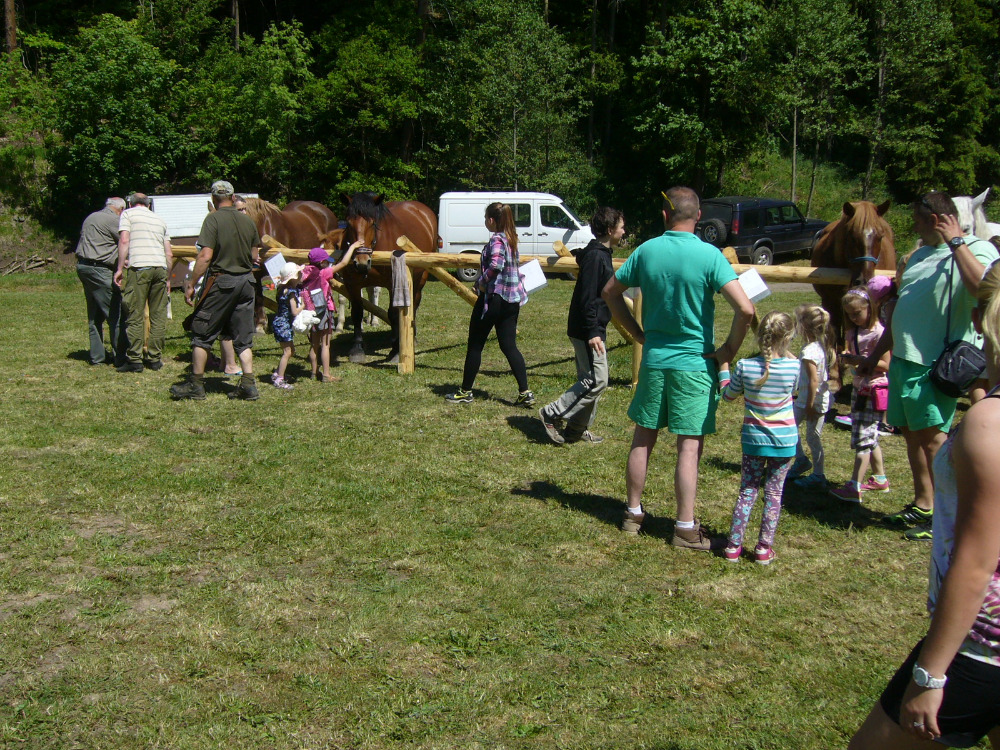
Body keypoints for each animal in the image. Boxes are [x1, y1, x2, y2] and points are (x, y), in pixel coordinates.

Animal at [338, 192, 436, 366]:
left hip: (420, 278)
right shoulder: (353, 284)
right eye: (348, 223)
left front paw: (396, 350)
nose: (361, 262)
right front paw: (357, 348)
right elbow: (357, 312)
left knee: (415, 304)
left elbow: (394, 314)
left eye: (372, 223)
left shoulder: (393, 284)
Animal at [808, 200, 896, 388]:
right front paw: (835, 377)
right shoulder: (830, 301)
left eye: (880, 236)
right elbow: (833, 333)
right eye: (852, 236)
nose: (863, 280)